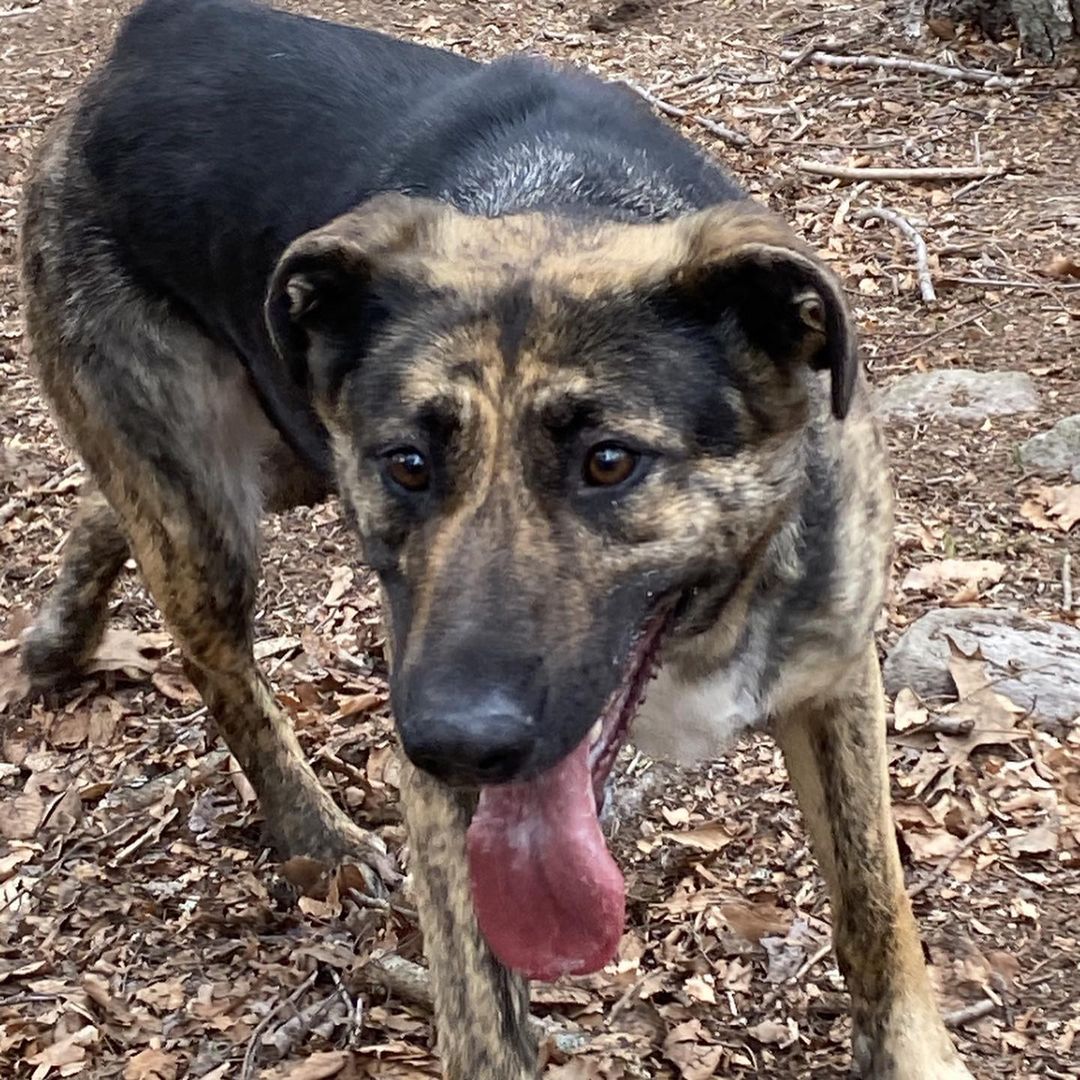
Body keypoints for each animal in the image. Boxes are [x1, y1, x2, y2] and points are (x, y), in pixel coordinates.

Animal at [21, 2, 976, 1080]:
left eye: (609, 462)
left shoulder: (833, 679)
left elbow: (874, 905)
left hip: (283, 457)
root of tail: (154, 33)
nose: (455, 742)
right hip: (210, 504)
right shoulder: (446, 800)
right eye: (408, 464)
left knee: (111, 508)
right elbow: (485, 1015)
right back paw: (311, 828)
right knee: (214, 654)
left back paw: (61, 632)